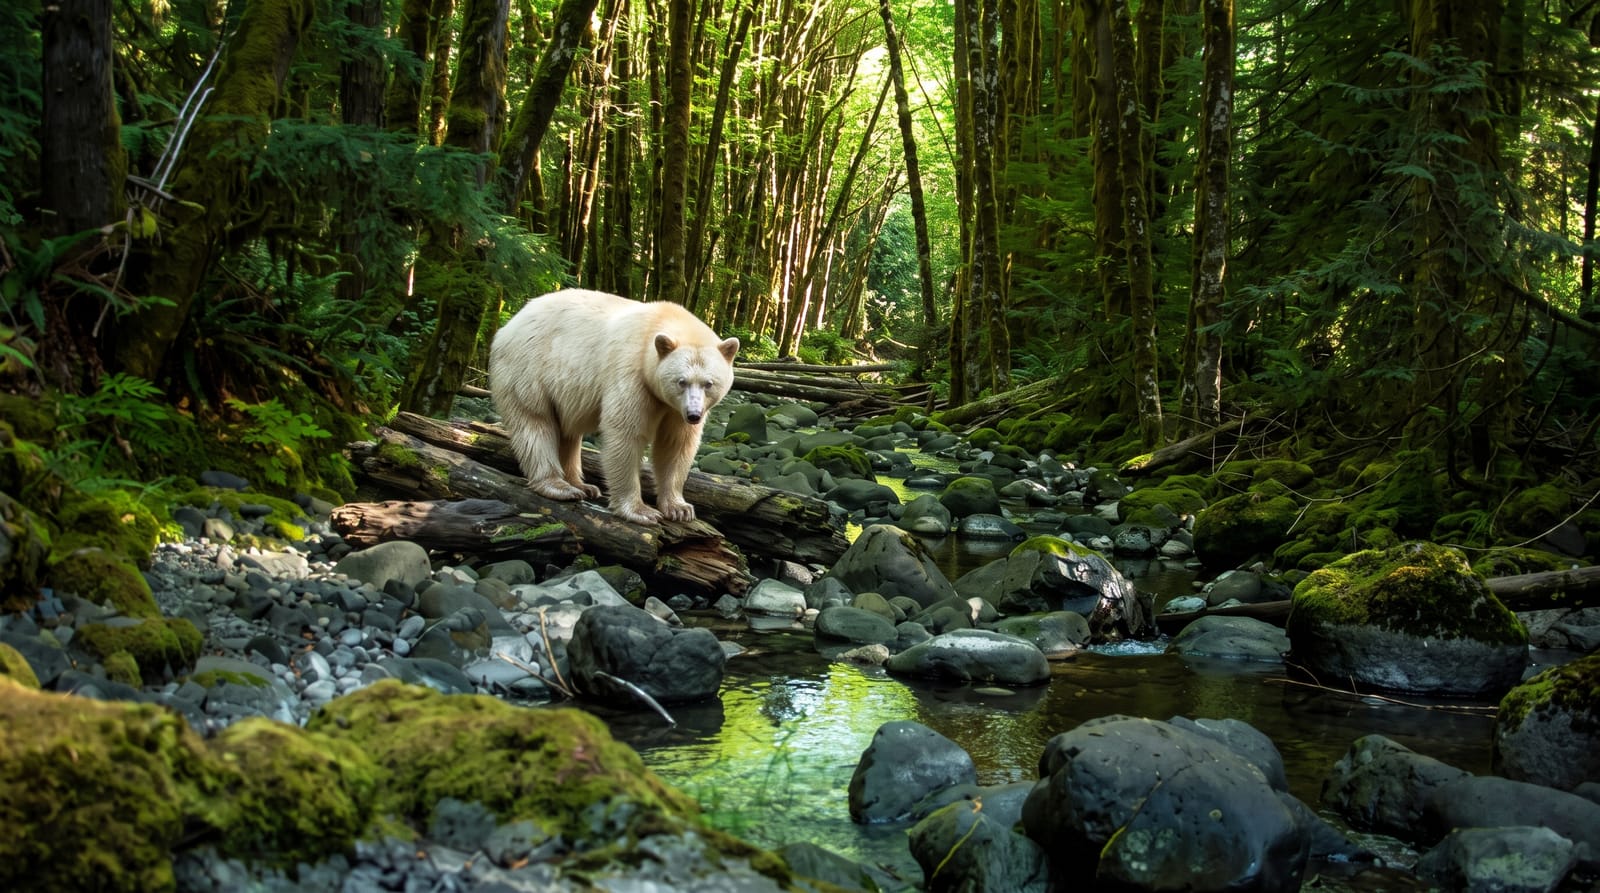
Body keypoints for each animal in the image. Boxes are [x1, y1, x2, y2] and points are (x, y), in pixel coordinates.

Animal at [489, 288, 740, 526]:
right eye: (681, 381)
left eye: (709, 383)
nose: (694, 415)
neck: (657, 325)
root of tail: (508, 325)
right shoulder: (631, 373)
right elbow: (625, 433)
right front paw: (641, 511)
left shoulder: (674, 409)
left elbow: (675, 444)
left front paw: (680, 508)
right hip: (528, 368)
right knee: (535, 422)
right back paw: (559, 486)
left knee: (568, 432)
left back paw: (582, 484)